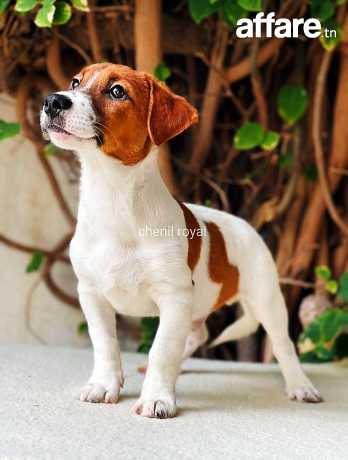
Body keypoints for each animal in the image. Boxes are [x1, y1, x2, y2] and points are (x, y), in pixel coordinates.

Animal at [39, 63, 322, 418]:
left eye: (117, 91)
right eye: (75, 82)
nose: (52, 100)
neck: (114, 199)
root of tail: (247, 225)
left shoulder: (173, 297)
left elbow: (161, 350)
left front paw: (157, 398)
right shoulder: (91, 294)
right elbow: (105, 344)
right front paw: (104, 385)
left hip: (266, 299)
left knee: (283, 344)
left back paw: (301, 385)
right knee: (197, 333)